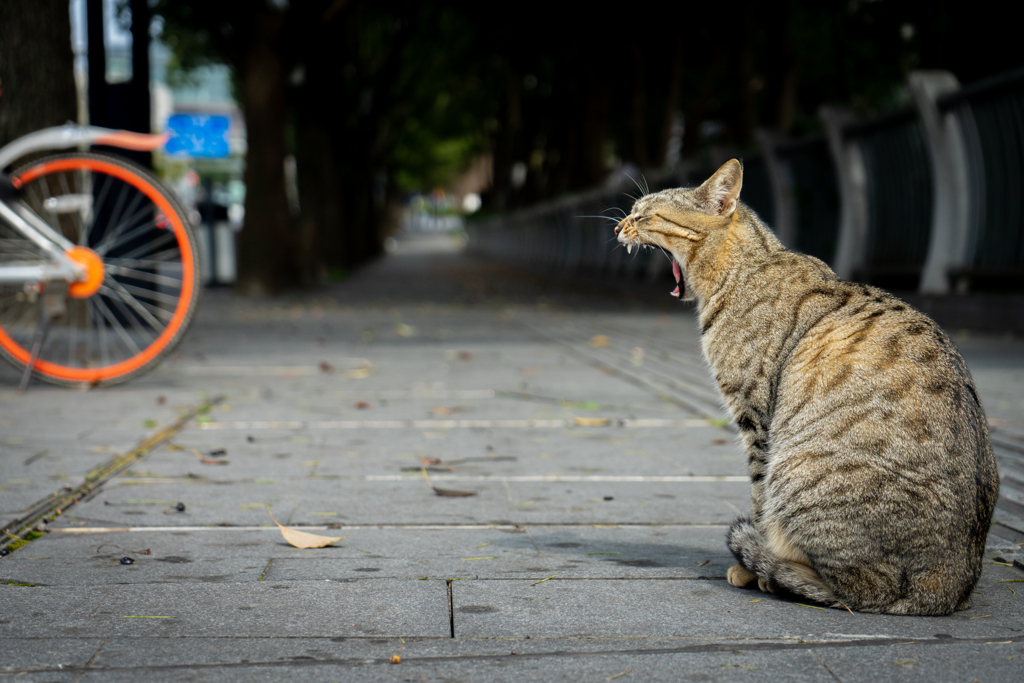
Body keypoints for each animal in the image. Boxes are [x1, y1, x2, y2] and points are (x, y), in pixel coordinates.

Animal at [614, 158, 999, 614]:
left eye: (643, 215)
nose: (618, 226)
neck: (742, 269)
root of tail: (952, 585)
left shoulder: (755, 417)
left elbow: (758, 500)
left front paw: (751, 566)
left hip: (798, 470)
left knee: (861, 589)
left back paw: (778, 572)